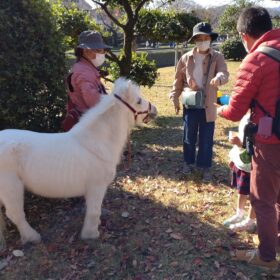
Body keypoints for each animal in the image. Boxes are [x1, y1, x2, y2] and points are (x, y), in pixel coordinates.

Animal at [0, 77, 156, 246]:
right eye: (138, 100)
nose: (154, 110)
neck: (97, 142)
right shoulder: (97, 187)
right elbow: (94, 211)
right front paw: (91, 234)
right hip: (12, 188)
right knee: (15, 214)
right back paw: (32, 237)